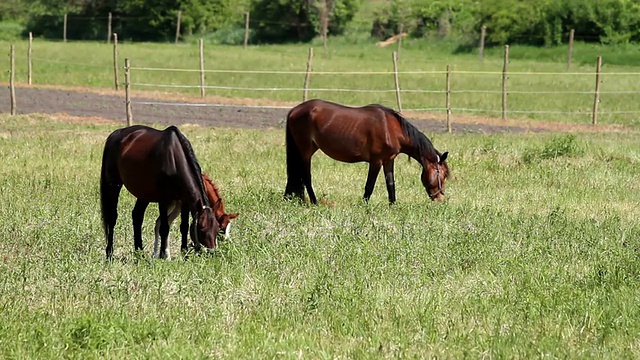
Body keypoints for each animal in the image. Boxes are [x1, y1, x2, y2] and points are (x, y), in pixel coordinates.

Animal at [99, 124, 220, 258]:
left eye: (217, 228)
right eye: (202, 228)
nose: (211, 252)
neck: (174, 158)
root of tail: (116, 134)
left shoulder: (184, 200)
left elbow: (184, 226)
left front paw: (184, 253)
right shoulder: (163, 199)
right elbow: (164, 227)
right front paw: (162, 255)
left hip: (144, 193)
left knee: (137, 216)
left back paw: (139, 253)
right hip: (113, 184)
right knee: (112, 218)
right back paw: (109, 253)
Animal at [284, 100, 450, 204]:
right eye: (441, 175)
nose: (440, 199)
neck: (391, 128)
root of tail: (294, 110)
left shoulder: (388, 160)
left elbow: (390, 184)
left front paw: (393, 205)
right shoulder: (376, 161)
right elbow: (369, 186)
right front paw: (364, 205)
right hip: (305, 151)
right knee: (306, 176)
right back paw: (314, 202)